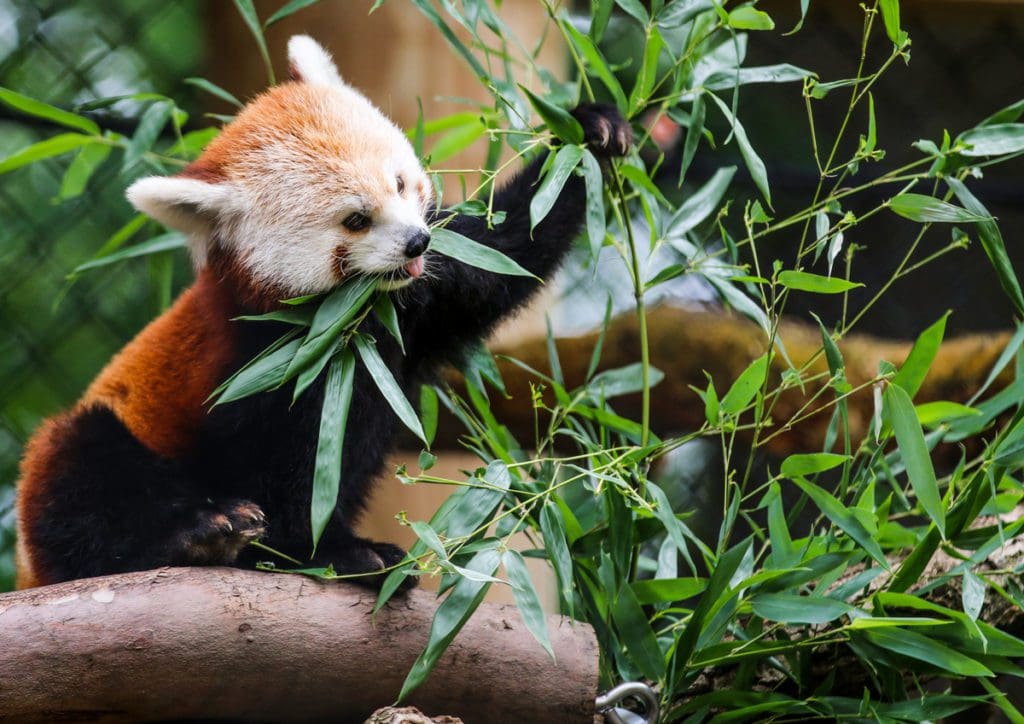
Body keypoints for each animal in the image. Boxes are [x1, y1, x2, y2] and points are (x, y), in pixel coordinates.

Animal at [14, 35, 630, 589]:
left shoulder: (427, 300)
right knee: (78, 470)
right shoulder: (259, 370)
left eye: (400, 183)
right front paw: (332, 552)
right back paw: (198, 534)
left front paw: (591, 135)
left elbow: (506, 254)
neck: (350, 322)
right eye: (355, 220)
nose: (417, 242)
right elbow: (294, 473)